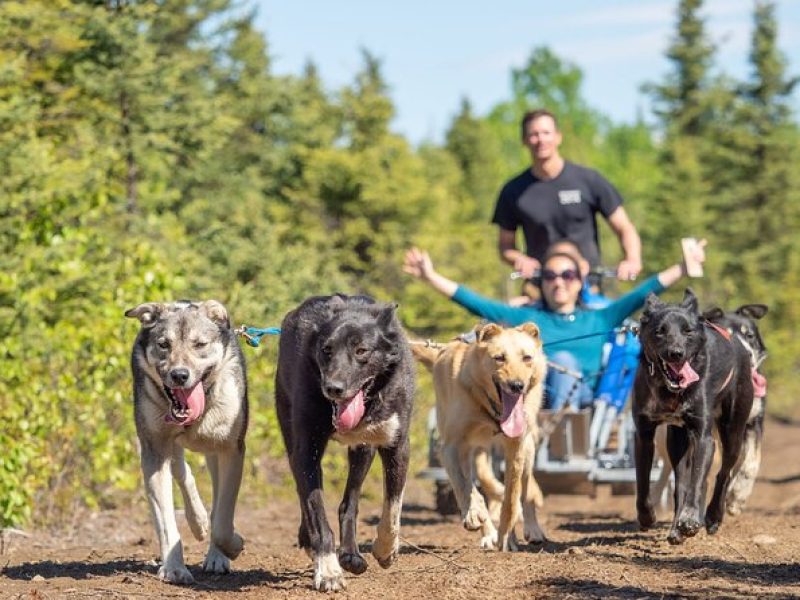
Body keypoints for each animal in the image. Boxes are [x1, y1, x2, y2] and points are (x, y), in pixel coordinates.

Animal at [126, 302, 247, 584]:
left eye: (200, 344)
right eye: (163, 344)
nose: (179, 375)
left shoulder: (230, 450)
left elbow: (223, 520)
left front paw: (232, 546)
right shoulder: (154, 452)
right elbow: (166, 522)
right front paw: (173, 568)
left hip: (214, 450)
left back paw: (216, 555)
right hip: (170, 446)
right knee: (182, 472)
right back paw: (198, 521)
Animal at [276, 294, 416, 592]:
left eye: (362, 350)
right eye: (326, 350)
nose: (333, 388)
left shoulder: (397, 446)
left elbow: (393, 507)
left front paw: (385, 549)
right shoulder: (306, 451)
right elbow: (315, 509)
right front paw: (328, 569)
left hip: (363, 451)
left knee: (349, 502)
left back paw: (351, 553)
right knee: (306, 499)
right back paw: (311, 541)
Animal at [412, 324, 552, 548]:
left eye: (527, 358)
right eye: (499, 358)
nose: (517, 385)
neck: (489, 409)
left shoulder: (516, 448)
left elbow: (512, 497)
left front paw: (506, 535)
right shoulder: (451, 447)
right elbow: (463, 484)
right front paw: (474, 513)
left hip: (528, 448)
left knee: (527, 489)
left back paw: (532, 528)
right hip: (476, 451)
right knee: (481, 480)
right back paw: (487, 528)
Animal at [632, 290, 756, 544]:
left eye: (688, 331)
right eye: (660, 331)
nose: (676, 353)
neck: (670, 391)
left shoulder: (703, 438)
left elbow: (698, 479)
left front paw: (690, 519)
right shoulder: (644, 435)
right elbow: (643, 482)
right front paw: (647, 516)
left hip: (733, 431)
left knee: (723, 474)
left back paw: (712, 517)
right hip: (676, 440)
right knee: (681, 483)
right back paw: (676, 529)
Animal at [704, 304, 764, 516]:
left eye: (750, 336)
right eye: (725, 334)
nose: (746, 355)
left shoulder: (754, 420)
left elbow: (751, 463)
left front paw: (737, 496)